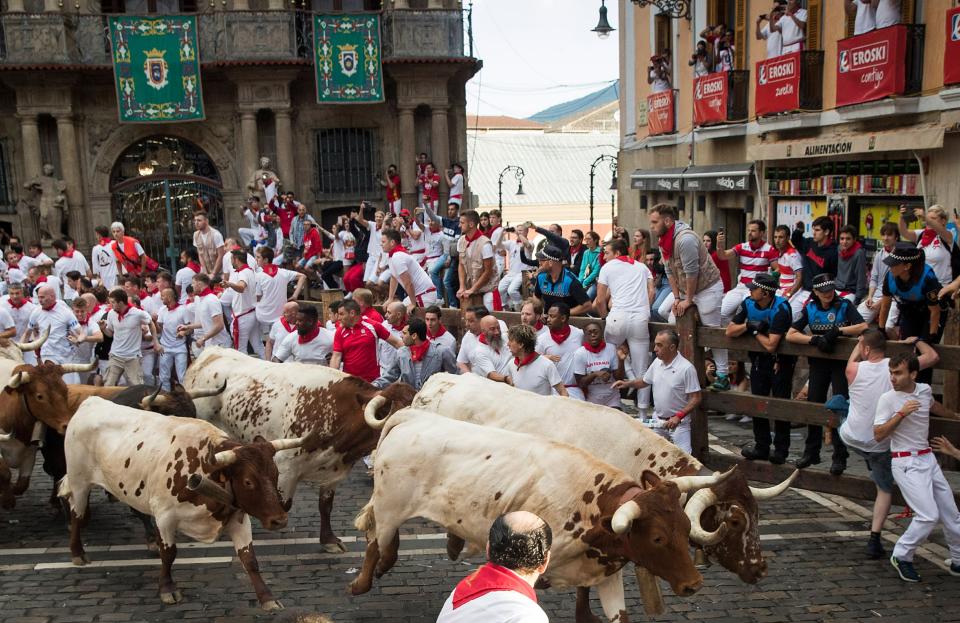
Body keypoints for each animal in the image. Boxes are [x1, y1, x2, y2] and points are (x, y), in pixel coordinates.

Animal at [59, 398, 304, 612]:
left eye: (275, 474)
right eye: (248, 482)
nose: (280, 520)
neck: (203, 468)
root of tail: (91, 401)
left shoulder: (238, 517)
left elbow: (249, 559)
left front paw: (267, 598)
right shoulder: (165, 517)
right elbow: (169, 553)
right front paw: (167, 588)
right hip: (79, 481)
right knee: (76, 513)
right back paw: (77, 552)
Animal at [182, 348, 414, 552]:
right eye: (397, 412)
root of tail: (209, 353)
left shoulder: (334, 471)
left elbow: (325, 505)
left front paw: (329, 540)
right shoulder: (285, 467)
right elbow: (282, 503)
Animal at [354, 410, 736, 623]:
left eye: (685, 528)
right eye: (657, 538)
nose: (694, 584)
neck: (593, 505)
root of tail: (412, 418)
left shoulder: (606, 573)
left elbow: (618, 614)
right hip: (389, 505)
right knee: (375, 541)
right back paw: (361, 582)